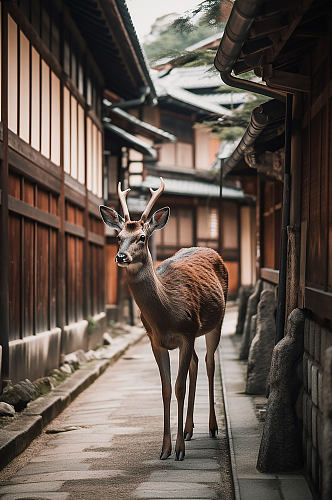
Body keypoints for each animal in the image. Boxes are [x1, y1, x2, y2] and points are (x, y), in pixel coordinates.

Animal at [100, 179, 227, 460]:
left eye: (142, 237)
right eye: (118, 237)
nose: (121, 257)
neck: (167, 313)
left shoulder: (187, 332)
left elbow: (179, 387)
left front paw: (179, 450)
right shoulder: (156, 340)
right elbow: (166, 388)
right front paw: (165, 448)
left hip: (215, 322)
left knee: (209, 362)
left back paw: (212, 427)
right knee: (195, 363)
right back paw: (189, 429)